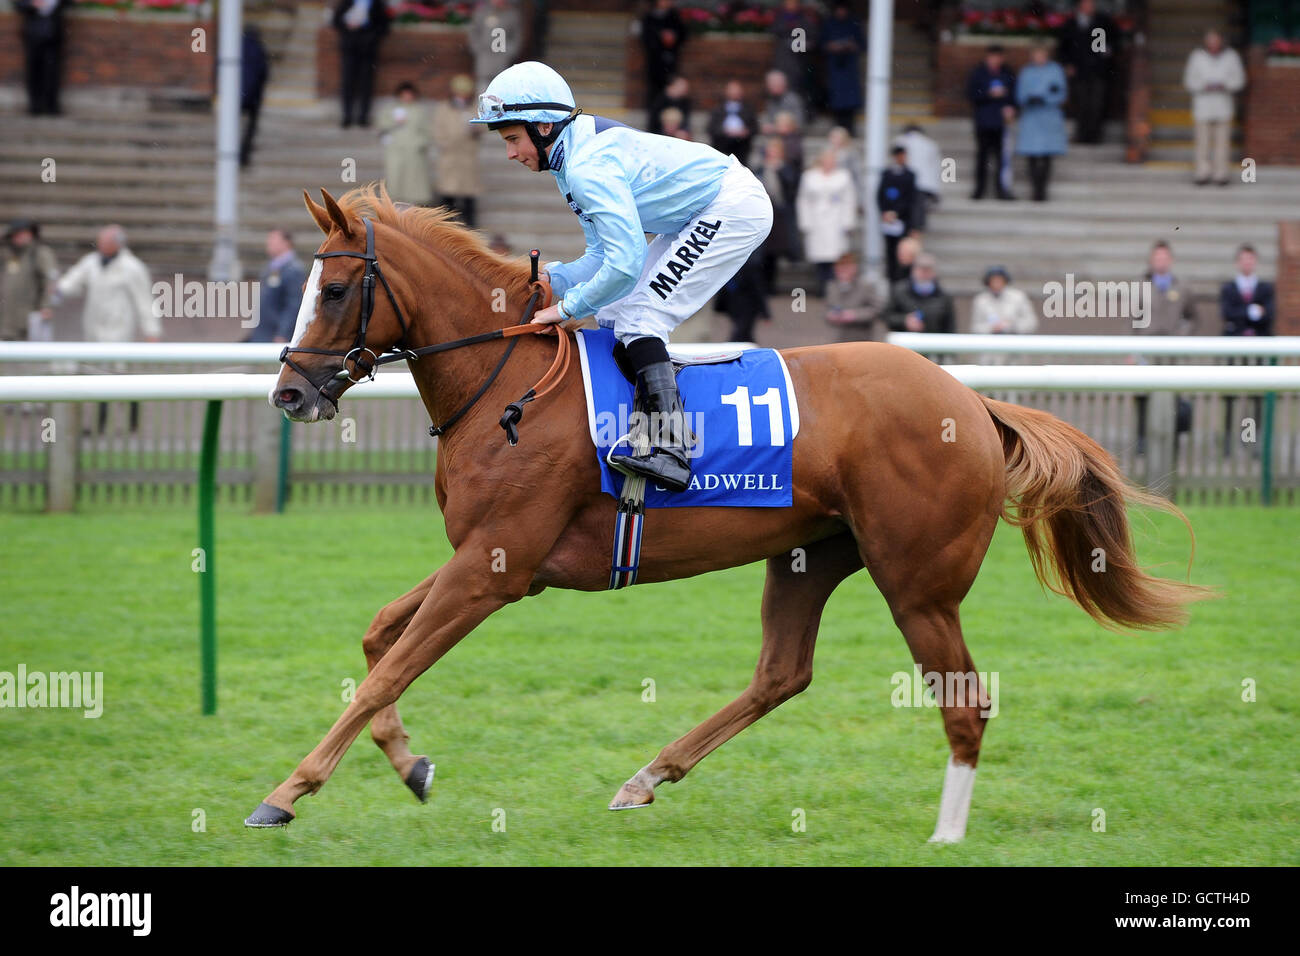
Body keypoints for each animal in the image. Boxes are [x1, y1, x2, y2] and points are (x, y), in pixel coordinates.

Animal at [250, 183, 1206, 842]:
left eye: (332, 291)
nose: (290, 394)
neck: (506, 382)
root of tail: (971, 402)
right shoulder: (489, 560)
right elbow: (380, 636)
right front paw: (411, 765)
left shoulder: (497, 568)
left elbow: (387, 668)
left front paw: (285, 793)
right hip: (812, 554)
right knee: (782, 673)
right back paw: (646, 776)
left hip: (918, 584)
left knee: (964, 701)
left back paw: (945, 835)